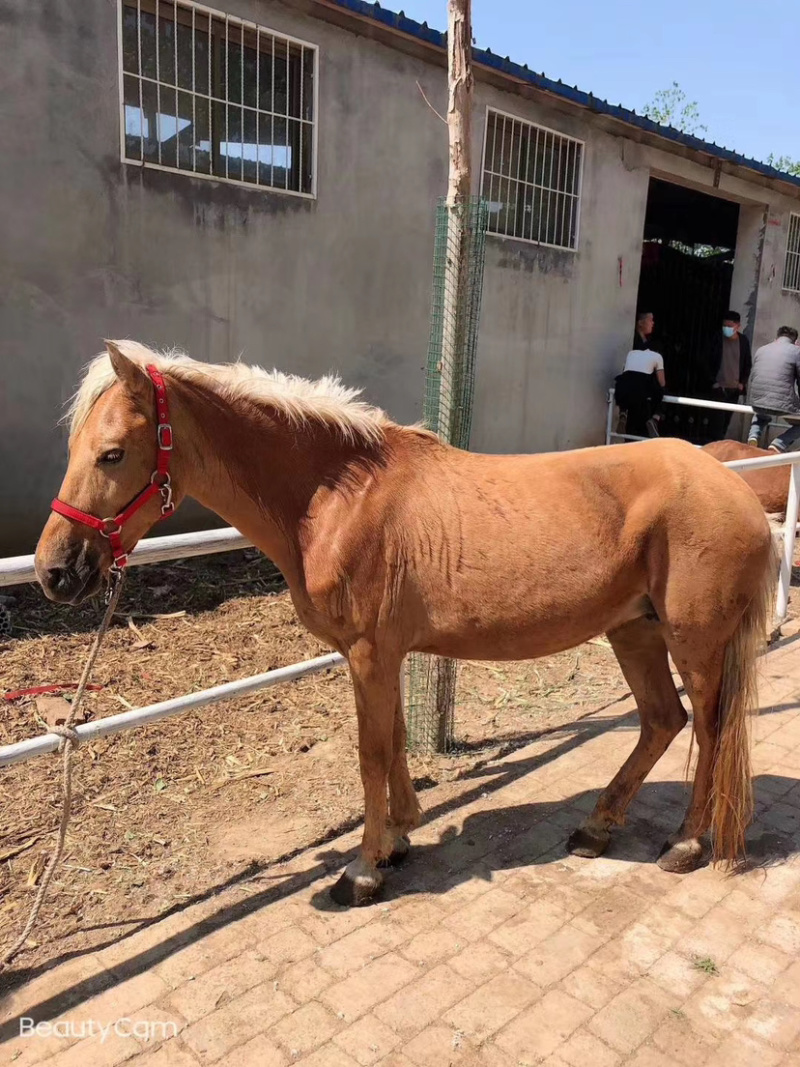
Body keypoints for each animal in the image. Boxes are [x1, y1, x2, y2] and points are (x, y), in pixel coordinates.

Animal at [35, 341, 776, 906]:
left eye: (111, 453)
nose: (54, 571)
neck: (337, 496)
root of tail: (736, 488)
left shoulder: (369, 652)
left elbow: (370, 754)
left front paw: (361, 870)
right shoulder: (379, 656)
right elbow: (391, 742)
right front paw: (395, 841)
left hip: (694, 642)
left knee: (711, 730)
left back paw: (685, 843)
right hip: (634, 630)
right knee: (662, 721)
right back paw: (596, 828)